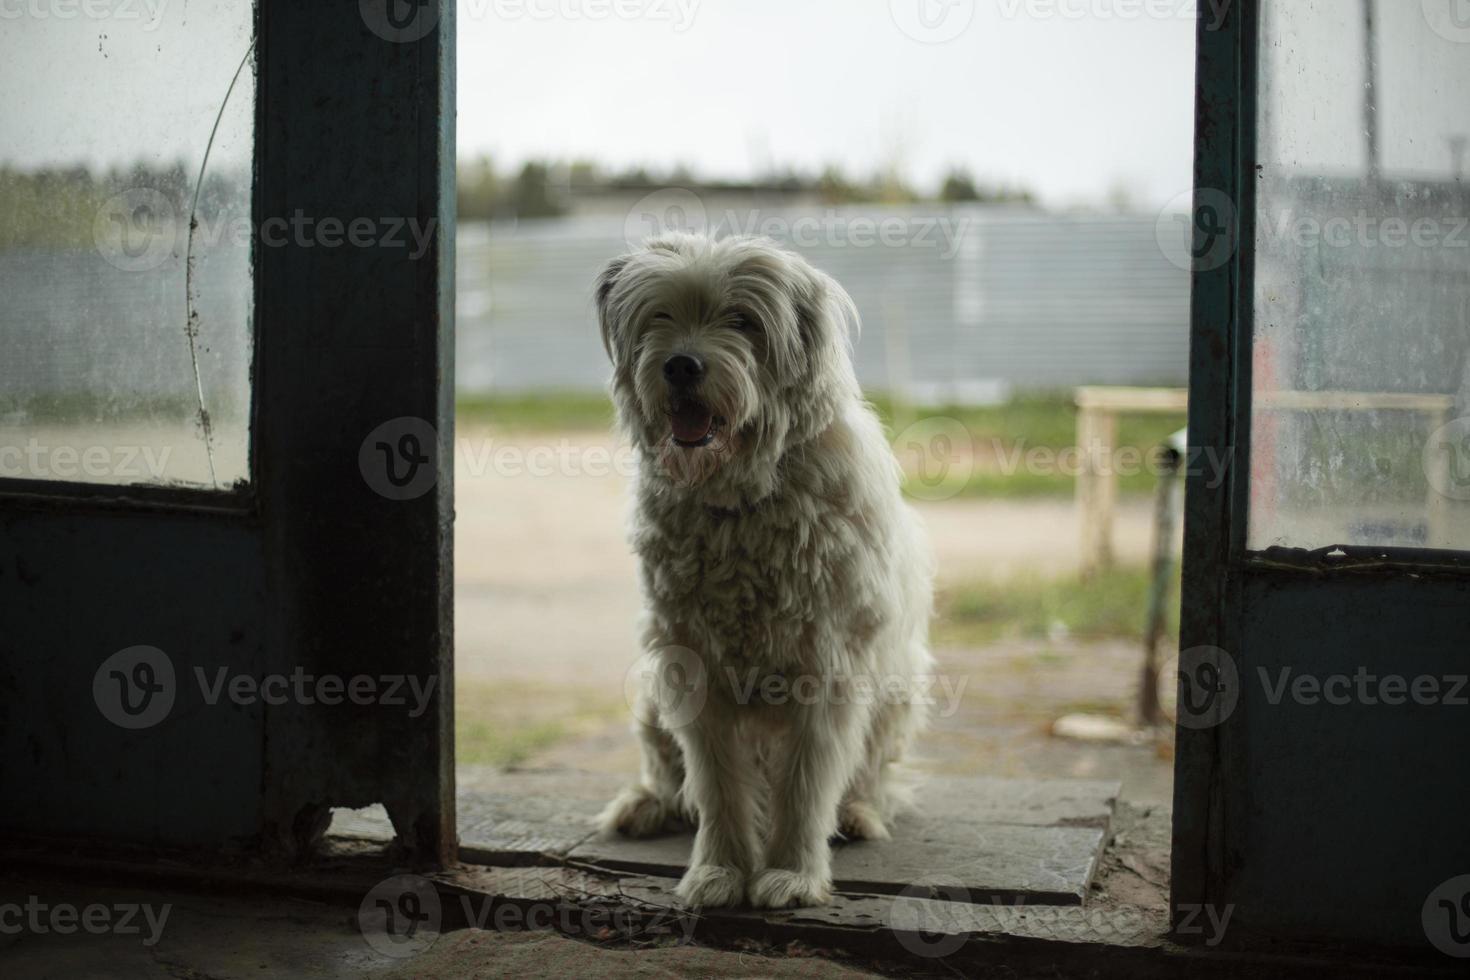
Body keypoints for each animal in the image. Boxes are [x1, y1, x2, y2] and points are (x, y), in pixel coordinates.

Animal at [593, 233, 929, 910]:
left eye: (742, 321)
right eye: (659, 316)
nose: (681, 366)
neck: (742, 499)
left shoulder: (825, 665)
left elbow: (804, 785)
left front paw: (793, 874)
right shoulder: (693, 665)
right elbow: (718, 784)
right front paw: (719, 872)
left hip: (893, 699)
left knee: (869, 778)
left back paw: (856, 814)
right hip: (652, 696)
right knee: (668, 773)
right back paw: (646, 804)